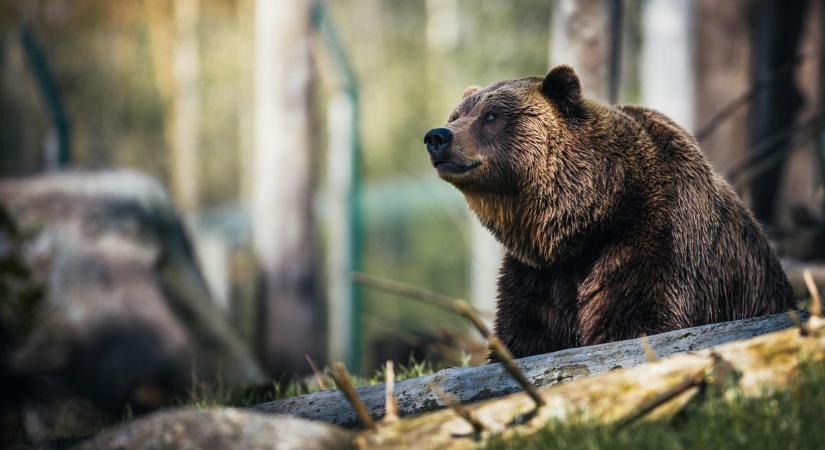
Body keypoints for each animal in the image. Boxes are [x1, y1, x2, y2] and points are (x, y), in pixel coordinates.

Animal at [422, 65, 796, 356]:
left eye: (491, 116)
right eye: (457, 115)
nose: (437, 136)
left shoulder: (655, 242)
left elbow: (638, 320)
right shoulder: (538, 276)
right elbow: (524, 335)